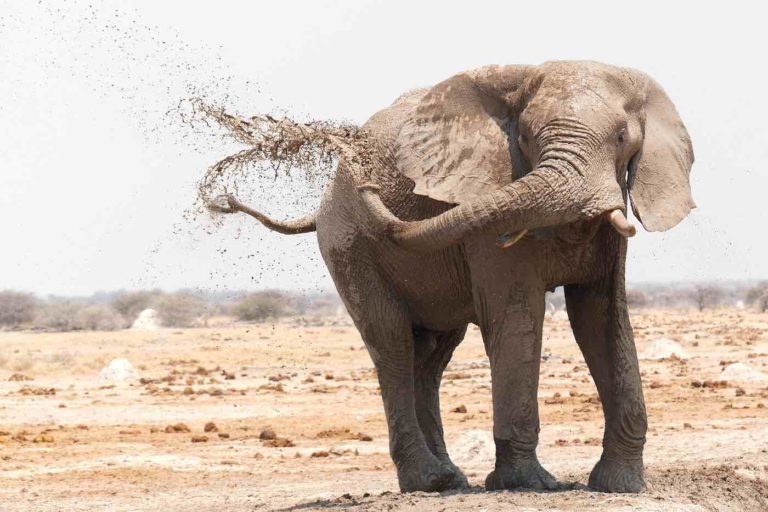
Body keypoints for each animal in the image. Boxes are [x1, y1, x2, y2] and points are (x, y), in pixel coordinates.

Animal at [211, 61, 694, 494]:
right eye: (524, 139)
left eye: (622, 138)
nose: (366, 181)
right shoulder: (487, 207)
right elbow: (517, 314)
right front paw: (528, 484)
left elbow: (601, 317)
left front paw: (621, 486)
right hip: (348, 245)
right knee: (392, 344)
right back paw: (430, 482)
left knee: (430, 357)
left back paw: (450, 479)